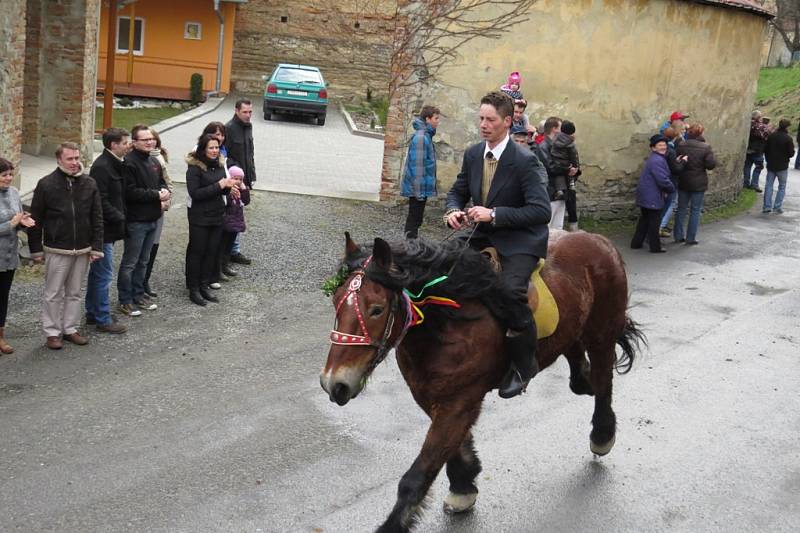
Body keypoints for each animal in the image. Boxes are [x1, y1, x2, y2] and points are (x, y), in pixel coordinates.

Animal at [318, 230, 644, 532]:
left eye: (377, 309)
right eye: (335, 301)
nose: (334, 383)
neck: (448, 325)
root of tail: (599, 240)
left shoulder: (459, 402)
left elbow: (417, 475)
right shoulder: (432, 396)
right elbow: (453, 448)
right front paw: (464, 484)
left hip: (602, 332)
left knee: (604, 381)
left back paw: (602, 434)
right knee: (579, 364)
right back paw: (582, 379)